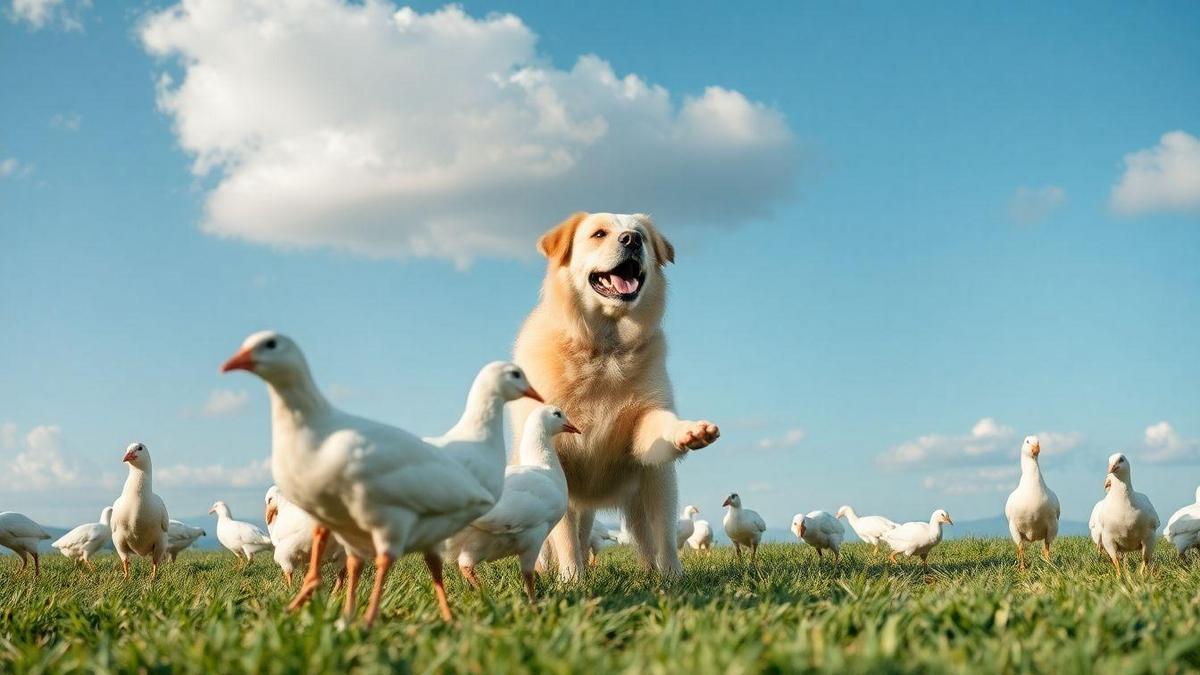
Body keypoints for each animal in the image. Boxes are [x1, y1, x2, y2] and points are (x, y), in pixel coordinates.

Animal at [508, 211, 715, 578]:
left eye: (641, 235)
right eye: (599, 234)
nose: (631, 239)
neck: (603, 349)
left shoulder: (644, 425)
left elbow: (660, 423)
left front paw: (688, 431)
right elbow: (564, 539)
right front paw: (572, 580)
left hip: (654, 487)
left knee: (658, 538)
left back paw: (667, 576)